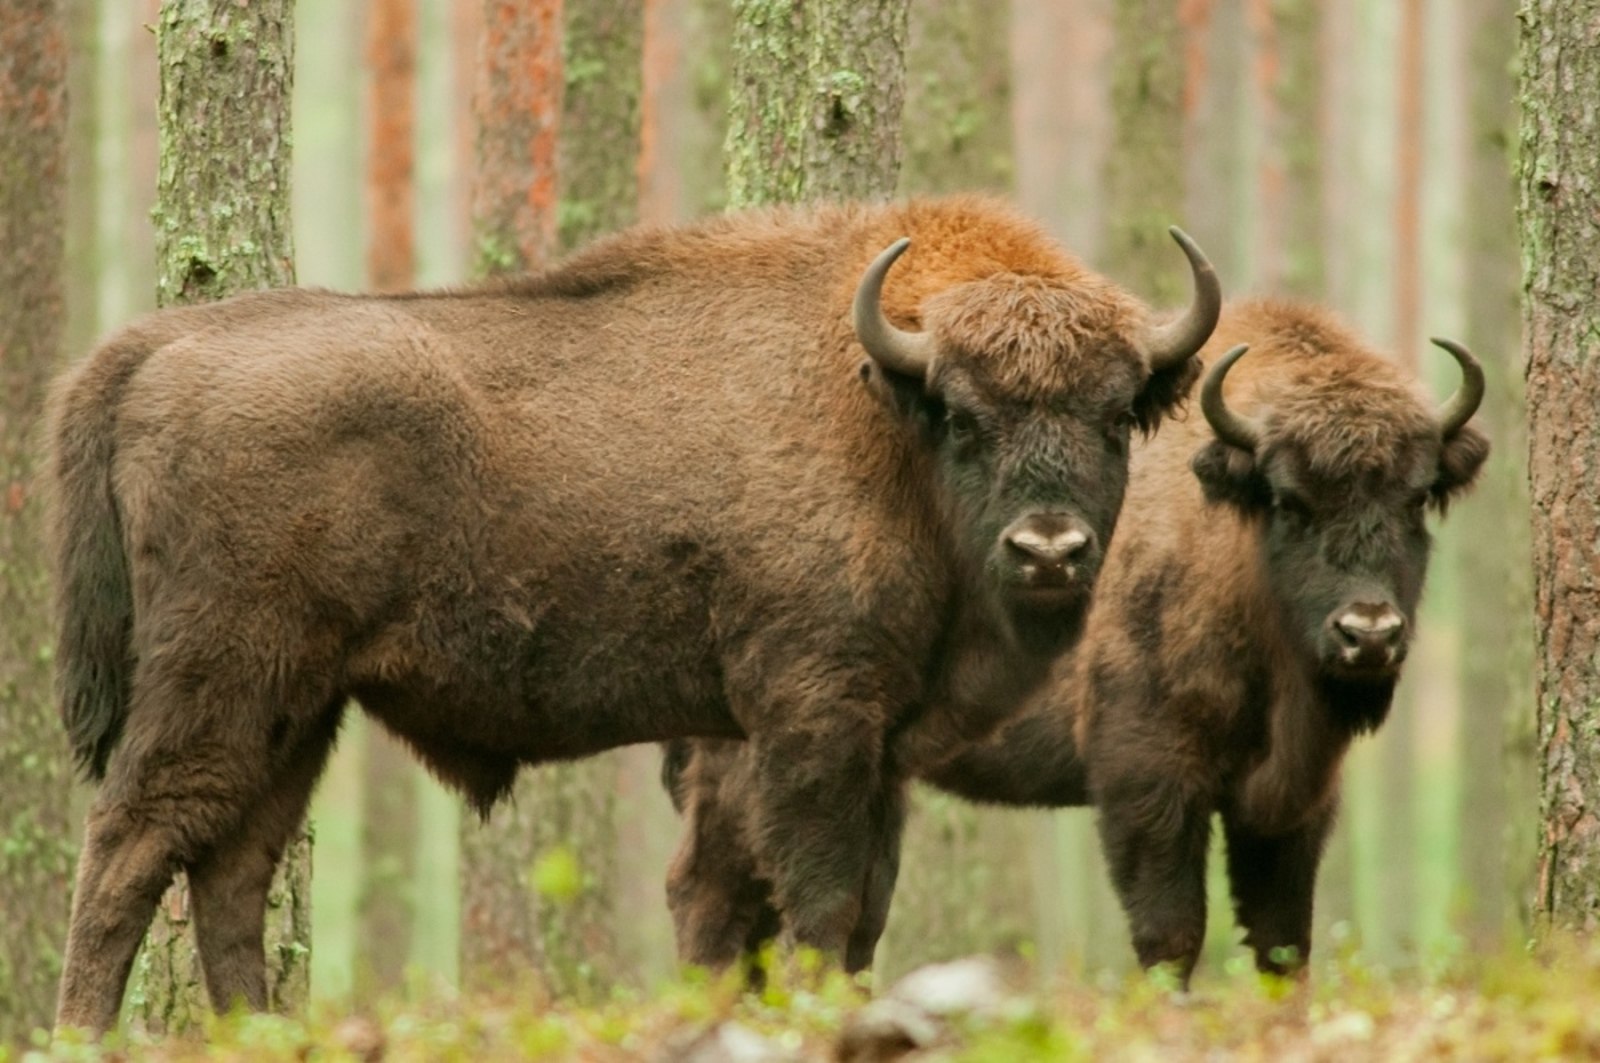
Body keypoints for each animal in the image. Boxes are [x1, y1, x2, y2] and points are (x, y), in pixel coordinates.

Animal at [50, 196, 1216, 1030]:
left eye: (1117, 414)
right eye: (965, 418)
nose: (1049, 550)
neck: (884, 411)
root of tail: (150, 351)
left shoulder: (881, 744)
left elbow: (865, 907)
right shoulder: (812, 716)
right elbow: (821, 894)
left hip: (300, 707)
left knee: (231, 869)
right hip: (219, 683)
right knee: (131, 839)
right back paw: (83, 1032)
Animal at [662, 294, 1484, 986]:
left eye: (1416, 500)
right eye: (1288, 501)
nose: (1368, 633)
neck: (1229, 545)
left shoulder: (1296, 801)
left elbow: (1283, 944)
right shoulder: (1145, 774)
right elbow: (1172, 933)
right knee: (711, 895)